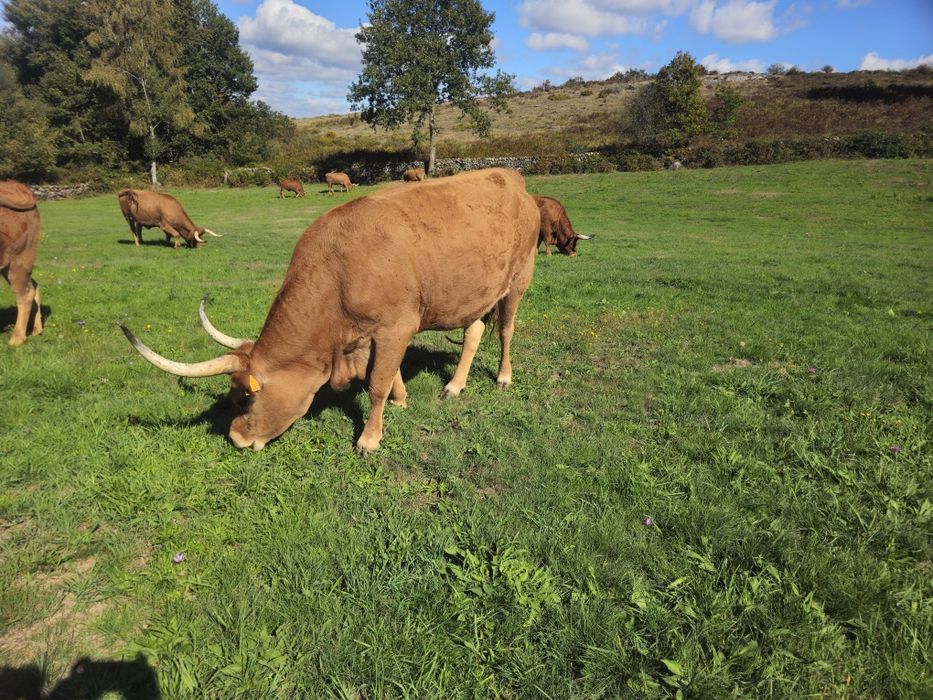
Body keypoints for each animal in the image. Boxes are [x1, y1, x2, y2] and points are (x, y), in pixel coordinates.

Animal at [122, 168, 541, 455]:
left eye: (243, 398)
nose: (236, 439)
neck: (339, 267)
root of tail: (513, 179)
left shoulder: (396, 327)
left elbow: (376, 383)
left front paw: (370, 438)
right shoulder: (374, 335)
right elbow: (387, 373)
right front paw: (401, 399)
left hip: (519, 278)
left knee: (506, 330)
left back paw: (503, 376)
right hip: (475, 292)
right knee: (474, 332)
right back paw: (454, 385)